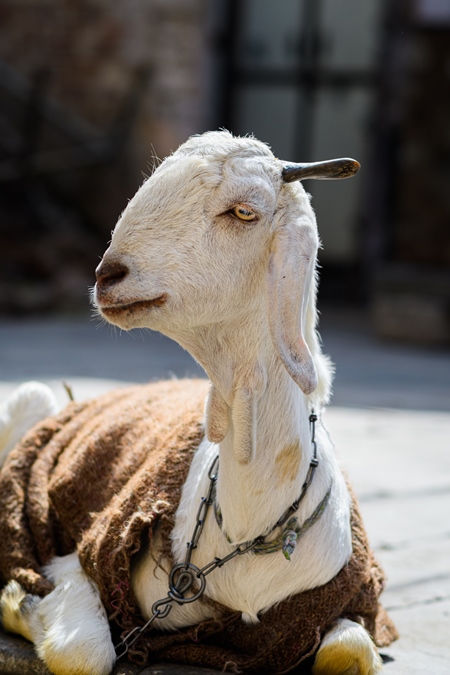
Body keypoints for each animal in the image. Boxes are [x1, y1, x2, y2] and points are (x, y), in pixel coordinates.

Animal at [0, 132, 394, 675]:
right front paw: (17, 599)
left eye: (244, 212)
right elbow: (82, 654)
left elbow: (349, 651)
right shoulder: (78, 560)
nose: (107, 276)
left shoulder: (350, 603)